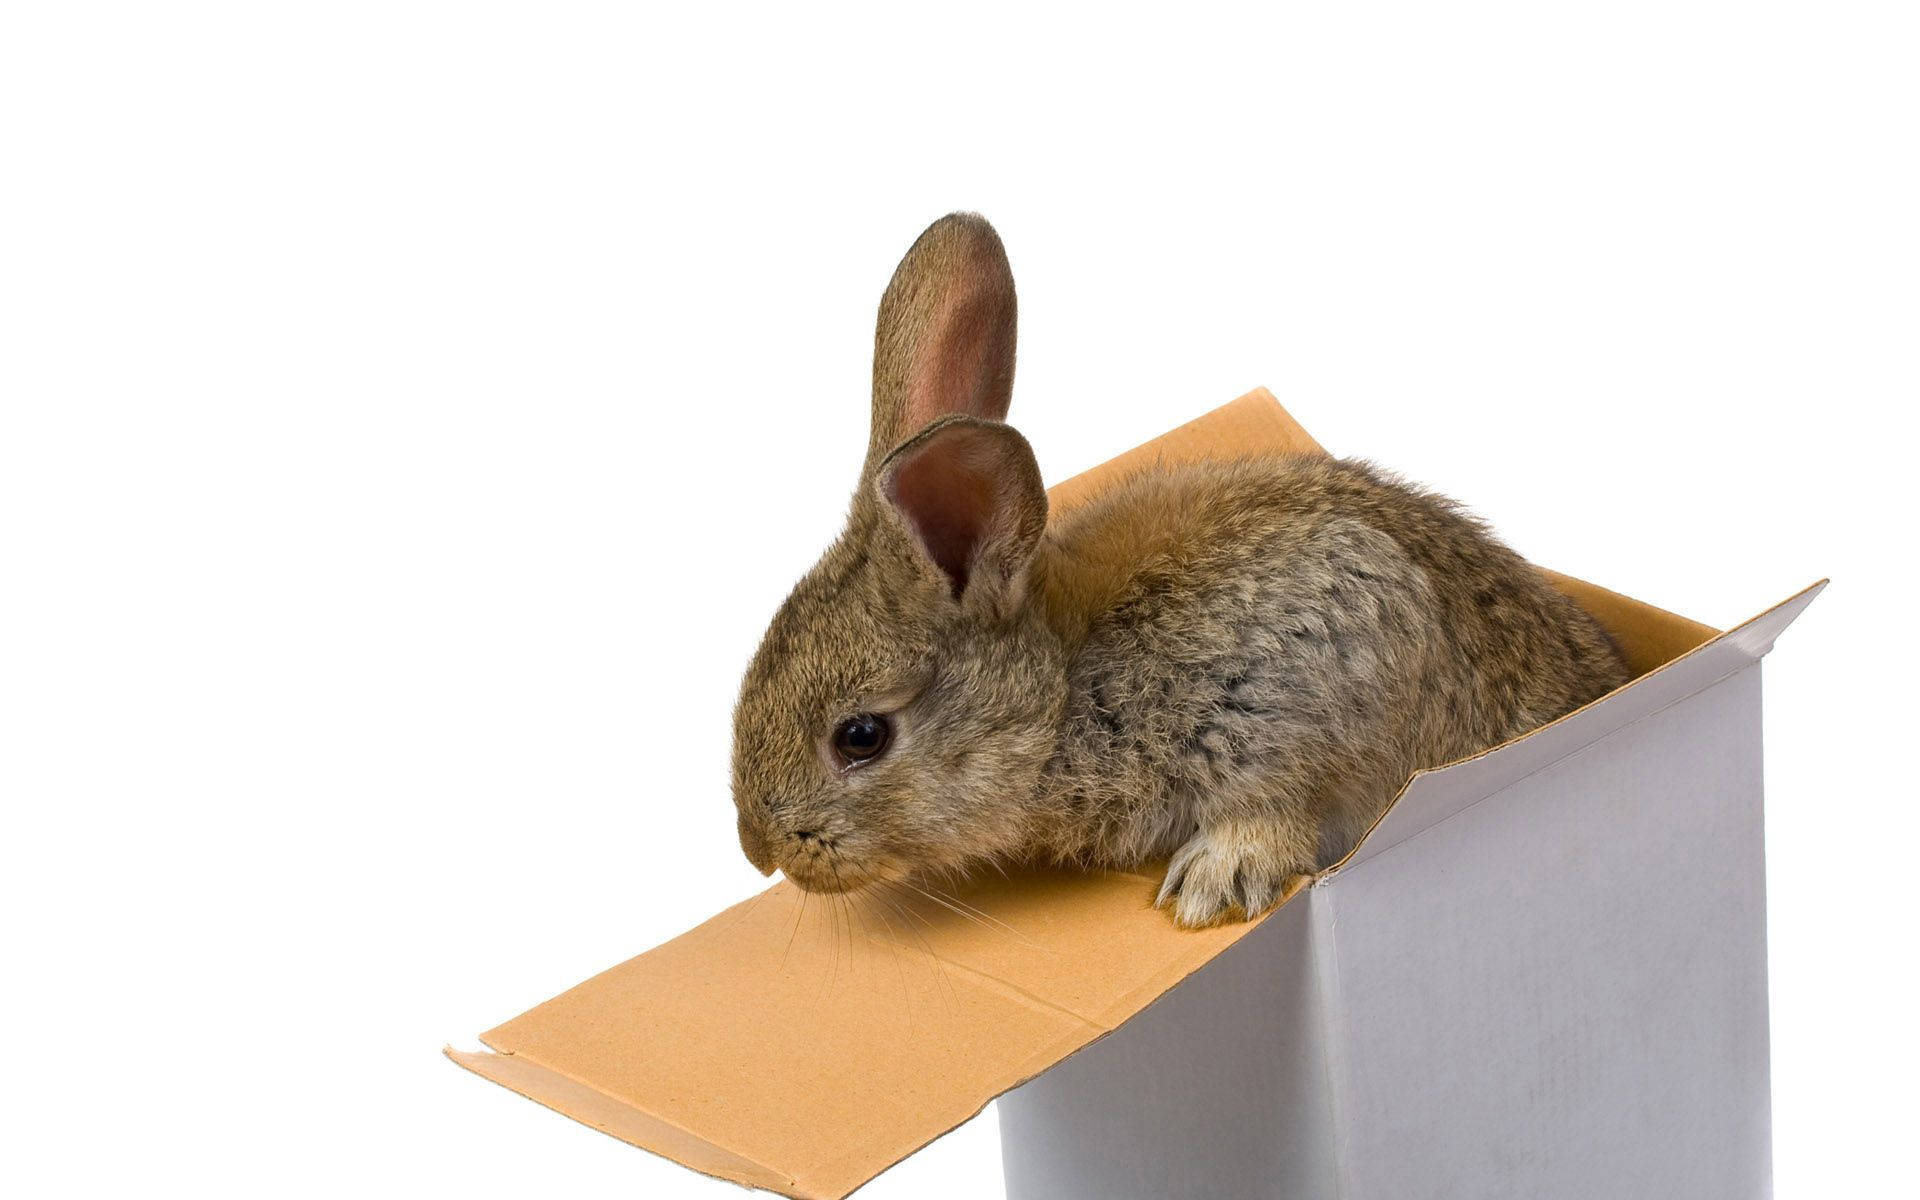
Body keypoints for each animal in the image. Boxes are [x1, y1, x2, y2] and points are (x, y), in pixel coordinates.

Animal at [730, 213, 1629, 927]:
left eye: (861, 736)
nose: (760, 850)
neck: (1062, 691)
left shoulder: (1316, 675)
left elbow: (1284, 806)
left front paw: (1213, 885)